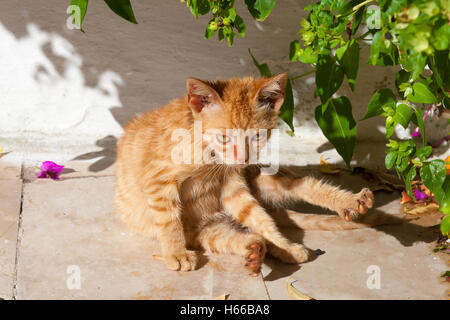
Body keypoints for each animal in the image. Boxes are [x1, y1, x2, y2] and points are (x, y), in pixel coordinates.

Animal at [114, 74, 374, 276]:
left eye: (256, 136)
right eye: (224, 138)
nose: (243, 158)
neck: (209, 155)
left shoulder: (234, 186)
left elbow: (259, 218)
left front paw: (285, 245)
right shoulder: (159, 181)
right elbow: (169, 221)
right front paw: (176, 253)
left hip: (261, 179)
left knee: (299, 188)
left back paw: (348, 203)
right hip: (207, 232)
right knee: (238, 237)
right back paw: (255, 250)